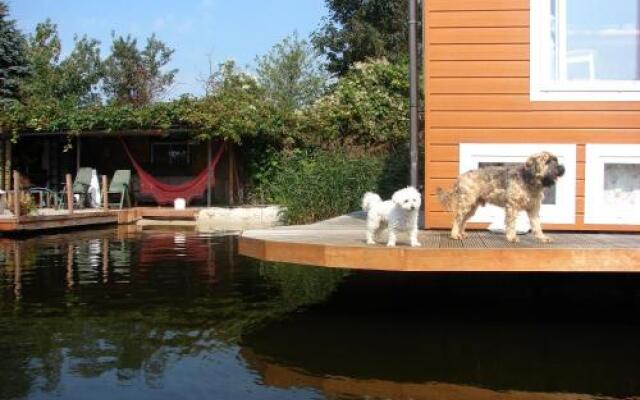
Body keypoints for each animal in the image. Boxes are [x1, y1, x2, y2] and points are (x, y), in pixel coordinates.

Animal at [436, 152, 564, 242]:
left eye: (556, 160)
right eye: (547, 161)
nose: (562, 168)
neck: (530, 180)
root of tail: (460, 177)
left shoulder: (534, 209)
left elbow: (537, 225)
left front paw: (542, 237)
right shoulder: (512, 207)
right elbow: (511, 224)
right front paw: (512, 237)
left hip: (472, 206)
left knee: (463, 220)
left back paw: (461, 233)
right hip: (466, 203)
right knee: (457, 219)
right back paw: (454, 235)